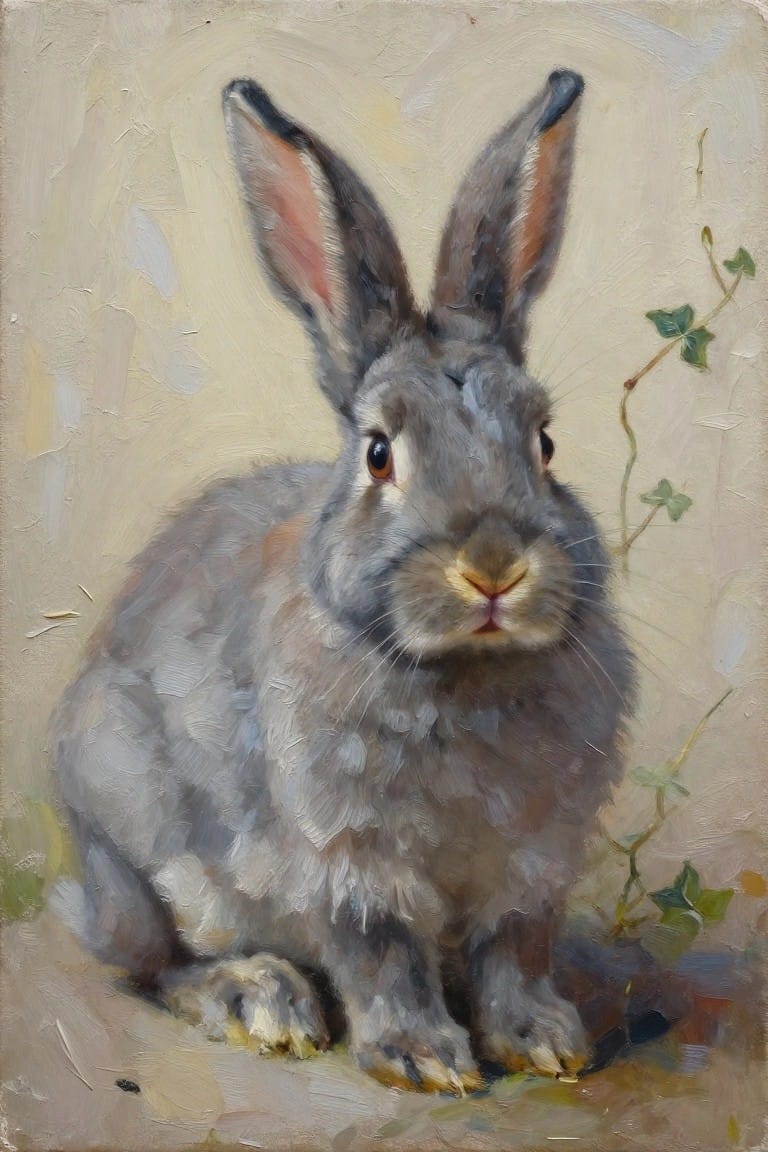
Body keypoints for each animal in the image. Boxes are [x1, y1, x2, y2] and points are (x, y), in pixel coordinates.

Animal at [51, 68, 635, 1095]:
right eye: (377, 454)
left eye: (545, 442)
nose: (493, 566)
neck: (460, 676)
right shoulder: (346, 858)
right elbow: (383, 952)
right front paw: (422, 1057)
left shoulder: (531, 869)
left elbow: (514, 953)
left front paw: (544, 1040)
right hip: (136, 841)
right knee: (153, 967)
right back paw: (262, 998)